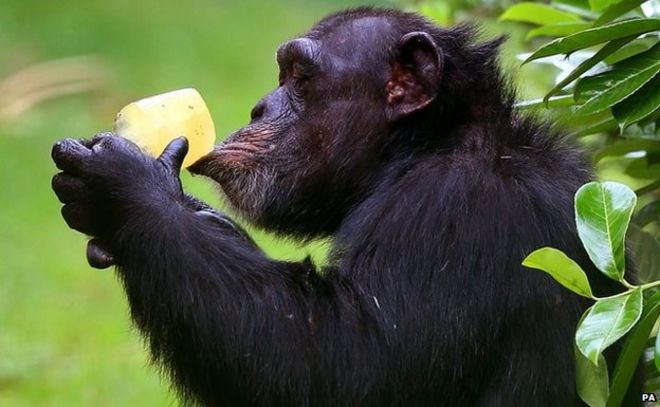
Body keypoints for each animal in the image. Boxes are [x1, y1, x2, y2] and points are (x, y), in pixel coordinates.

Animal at [50, 6, 620, 407]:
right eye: (281, 75)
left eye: (300, 77)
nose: (260, 106)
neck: (425, 145)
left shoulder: (452, 213)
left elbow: (340, 364)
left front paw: (126, 193)